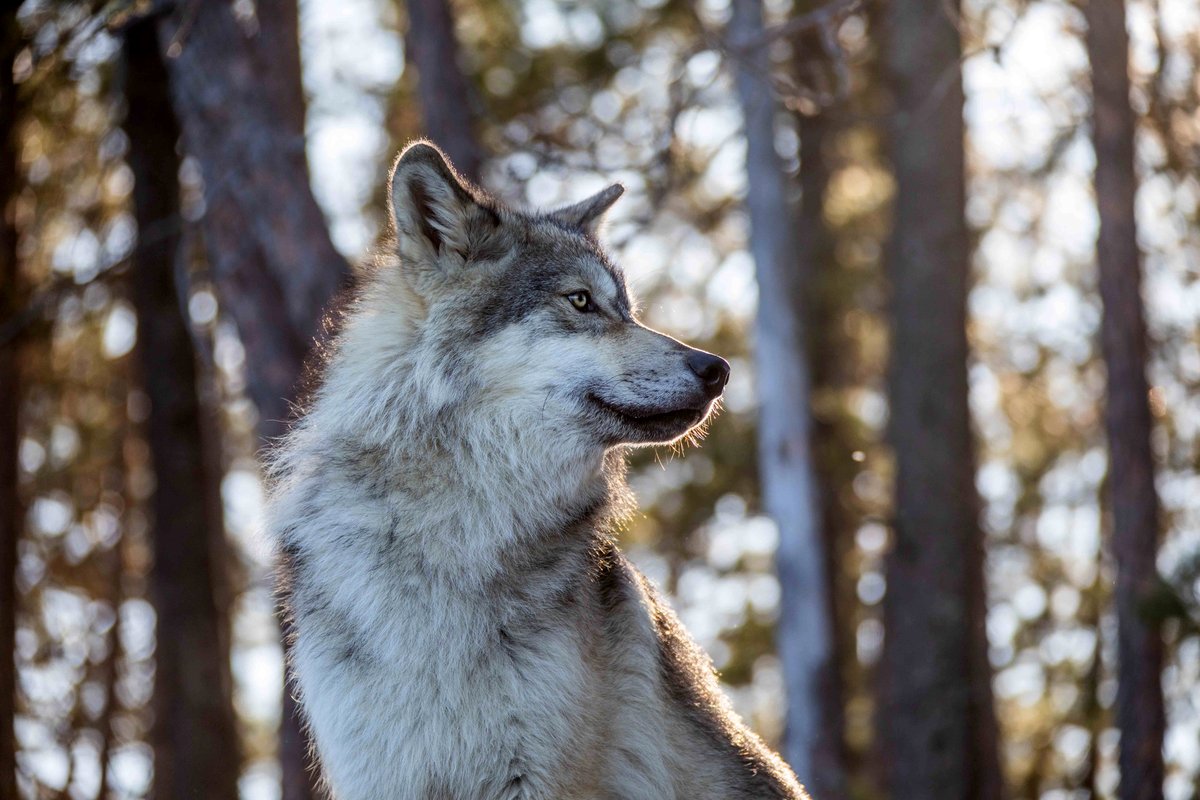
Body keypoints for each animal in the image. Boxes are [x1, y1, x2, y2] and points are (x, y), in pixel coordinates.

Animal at [265, 140, 810, 800]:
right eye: (580, 301)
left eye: (627, 310)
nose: (719, 369)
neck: (453, 534)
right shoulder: (379, 770)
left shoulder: (538, 773)